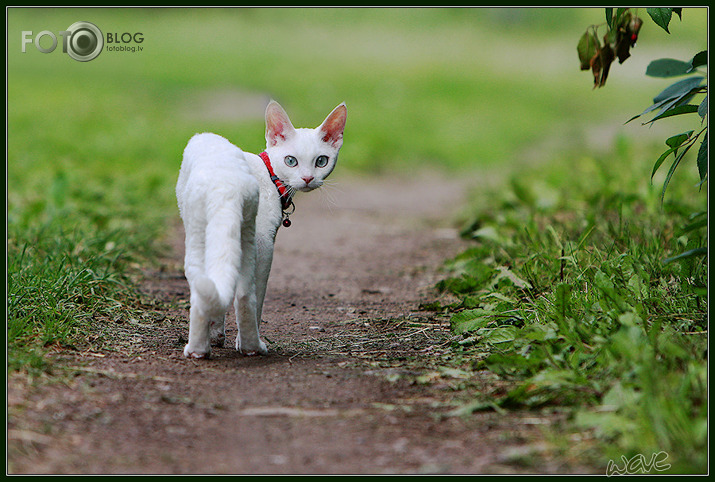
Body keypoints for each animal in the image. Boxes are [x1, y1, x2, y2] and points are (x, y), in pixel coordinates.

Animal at [178, 100, 348, 358]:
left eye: (321, 161)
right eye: (291, 160)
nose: (308, 178)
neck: (271, 175)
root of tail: (224, 186)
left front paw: (216, 333)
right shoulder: (266, 240)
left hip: (199, 231)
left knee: (203, 287)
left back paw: (198, 349)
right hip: (251, 238)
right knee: (246, 296)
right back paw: (252, 346)